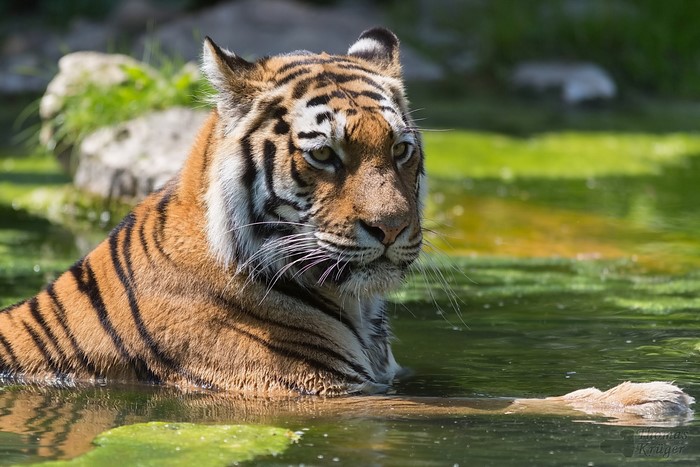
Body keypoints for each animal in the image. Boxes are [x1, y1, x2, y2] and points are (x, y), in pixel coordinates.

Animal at [0, 28, 693, 421]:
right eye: (325, 155)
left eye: (402, 150)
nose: (390, 229)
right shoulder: (314, 393)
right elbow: (503, 403)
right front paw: (648, 399)